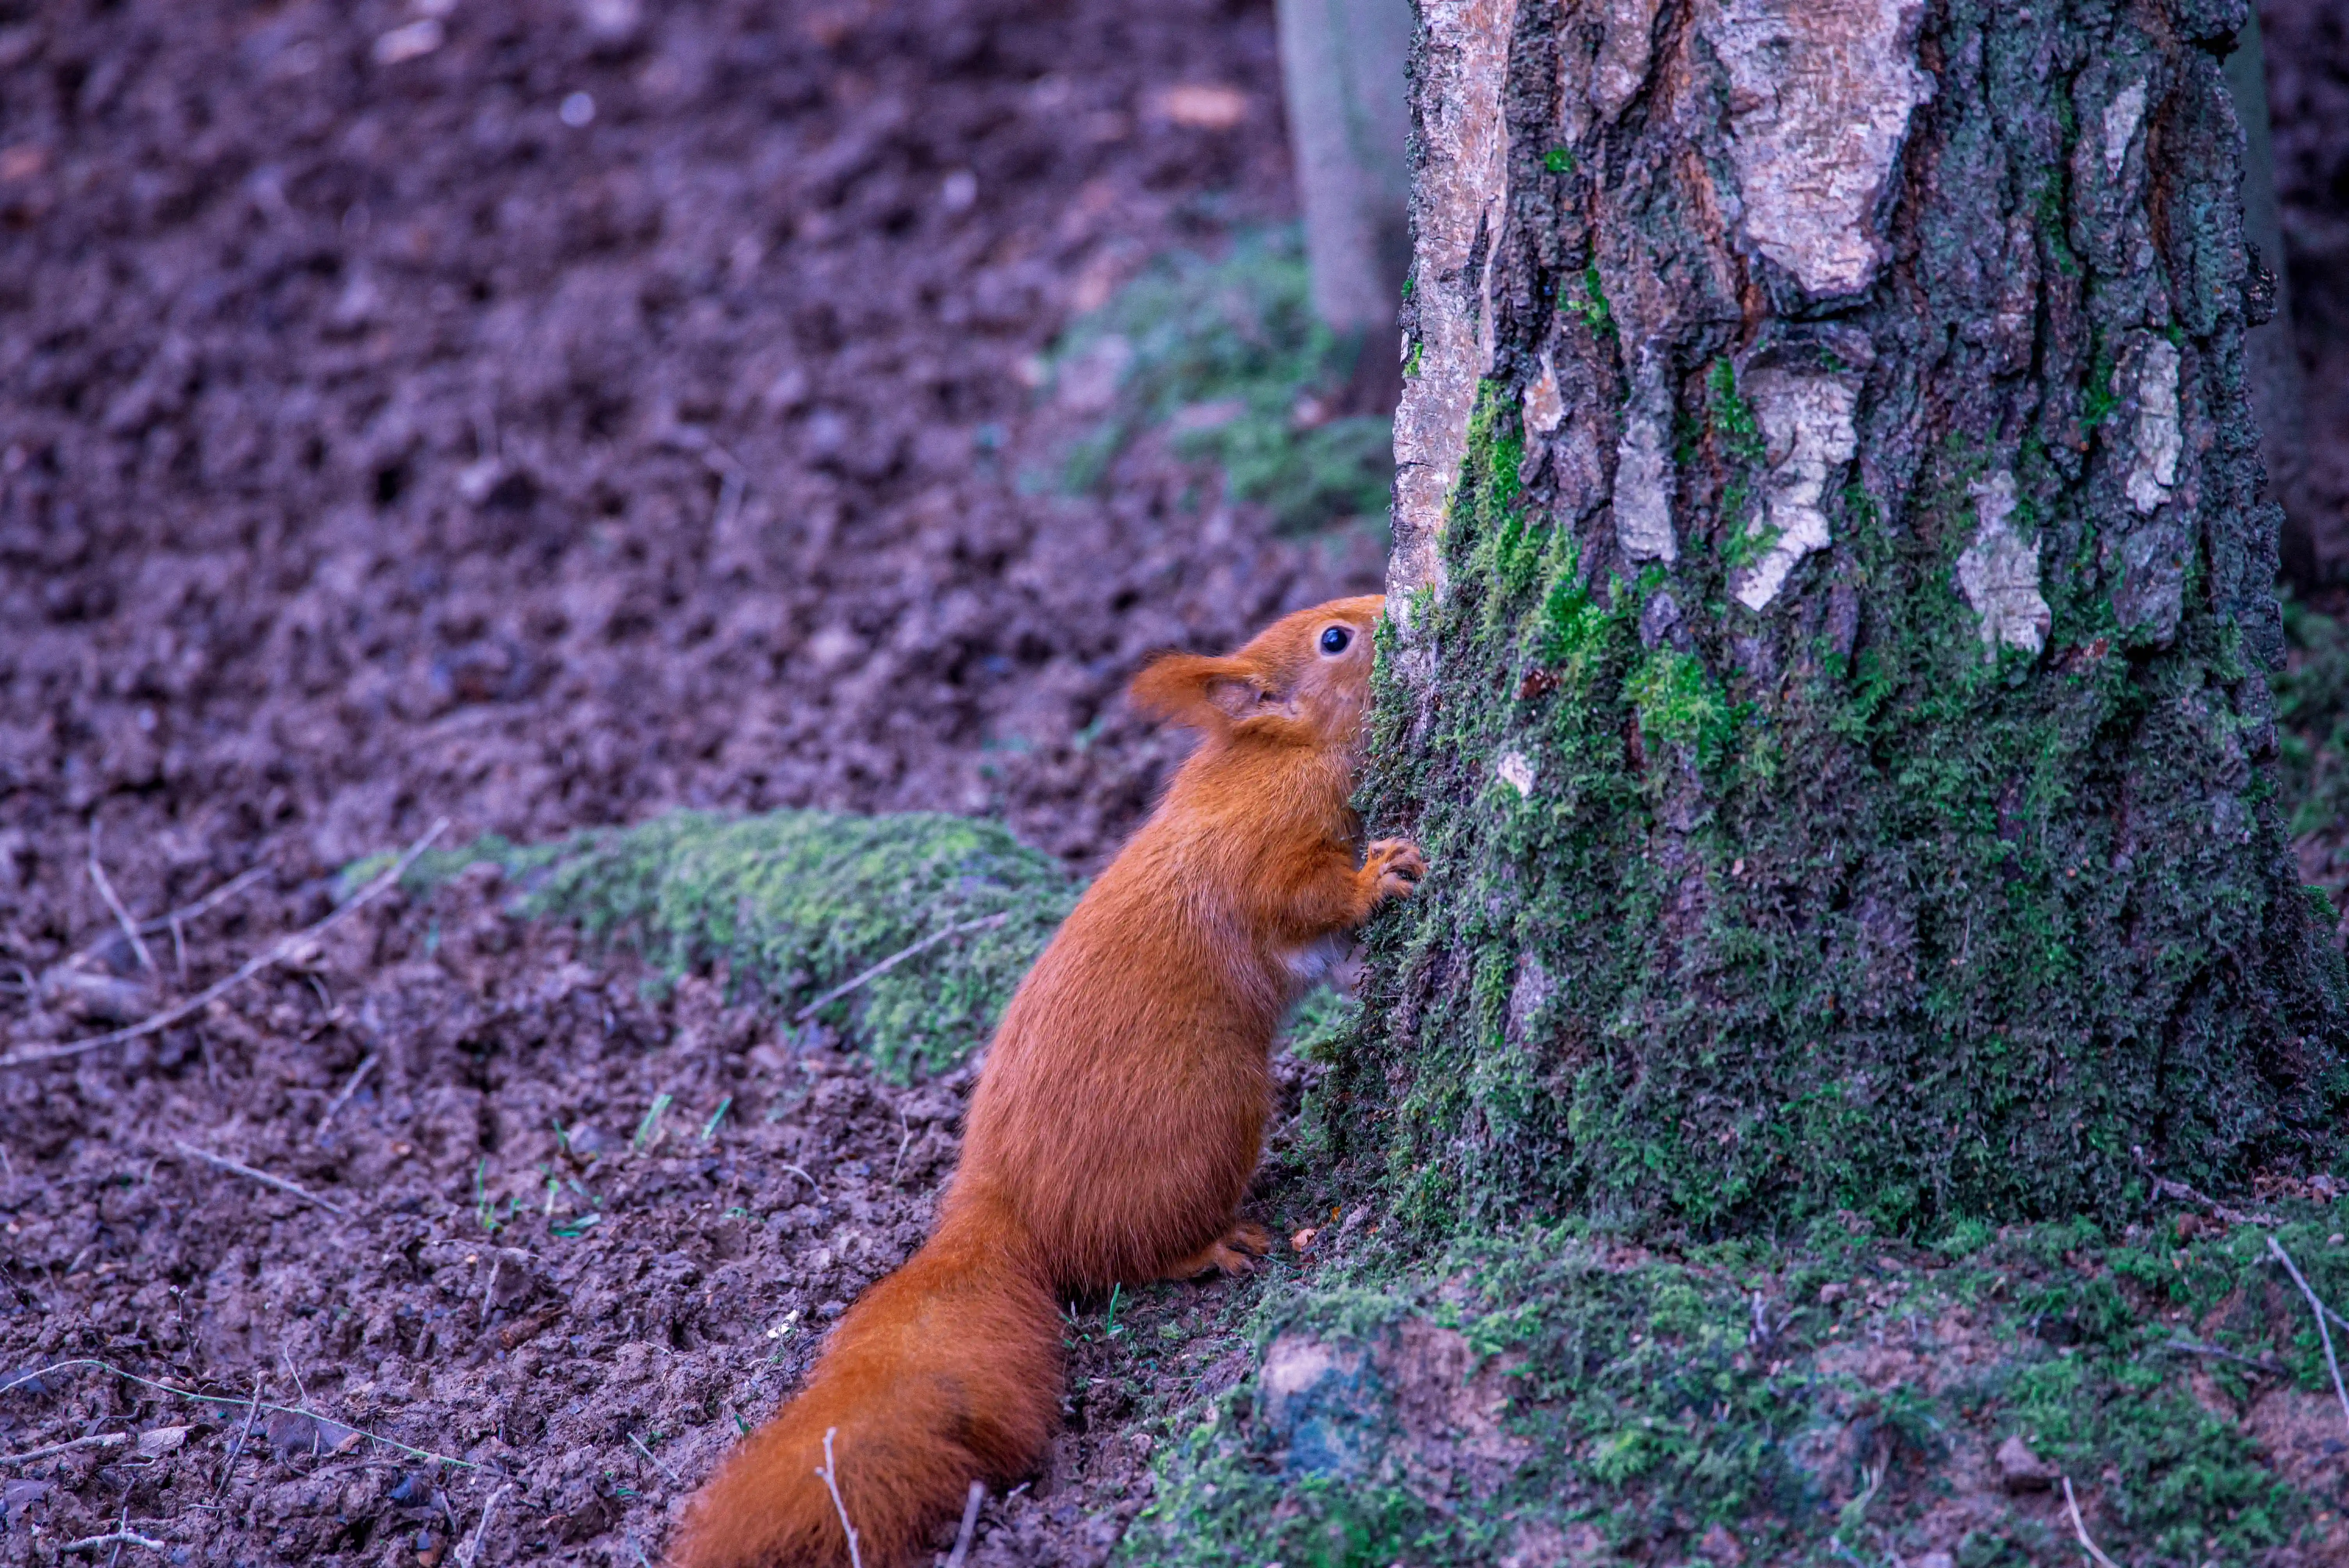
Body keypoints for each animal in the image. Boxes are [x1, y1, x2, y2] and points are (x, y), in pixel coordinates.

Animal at [667, 594, 1425, 1568]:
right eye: (1334, 640)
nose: (1384, 603)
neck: (1265, 756)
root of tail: (1001, 1205)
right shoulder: (1265, 851)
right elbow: (1305, 897)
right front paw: (1378, 878)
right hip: (1208, 1122)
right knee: (1123, 1254)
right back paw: (1209, 1248)